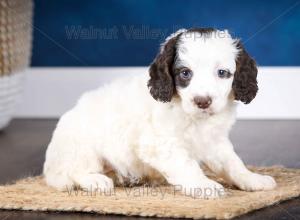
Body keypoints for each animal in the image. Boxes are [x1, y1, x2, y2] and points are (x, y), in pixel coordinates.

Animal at [42, 27, 276, 199]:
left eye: (222, 73)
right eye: (185, 73)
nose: (202, 101)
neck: (194, 117)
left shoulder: (215, 141)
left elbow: (233, 163)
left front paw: (252, 179)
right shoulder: (160, 143)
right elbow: (187, 165)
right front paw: (203, 185)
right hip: (81, 148)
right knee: (74, 172)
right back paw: (96, 180)